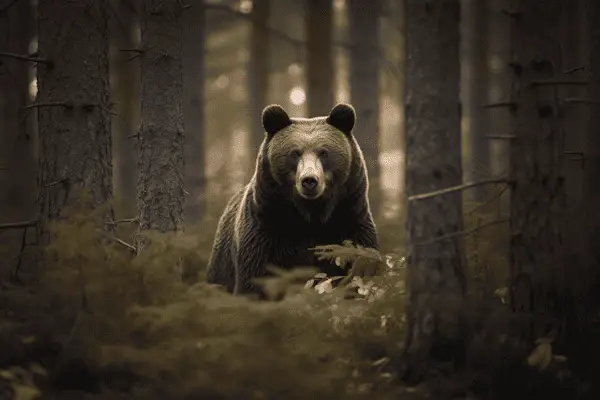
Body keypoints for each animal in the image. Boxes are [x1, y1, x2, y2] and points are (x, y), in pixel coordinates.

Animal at [204, 103, 378, 296]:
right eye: (295, 153)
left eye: (324, 153)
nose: (309, 180)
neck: (310, 217)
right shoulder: (265, 234)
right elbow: (254, 282)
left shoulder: (349, 225)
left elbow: (360, 269)